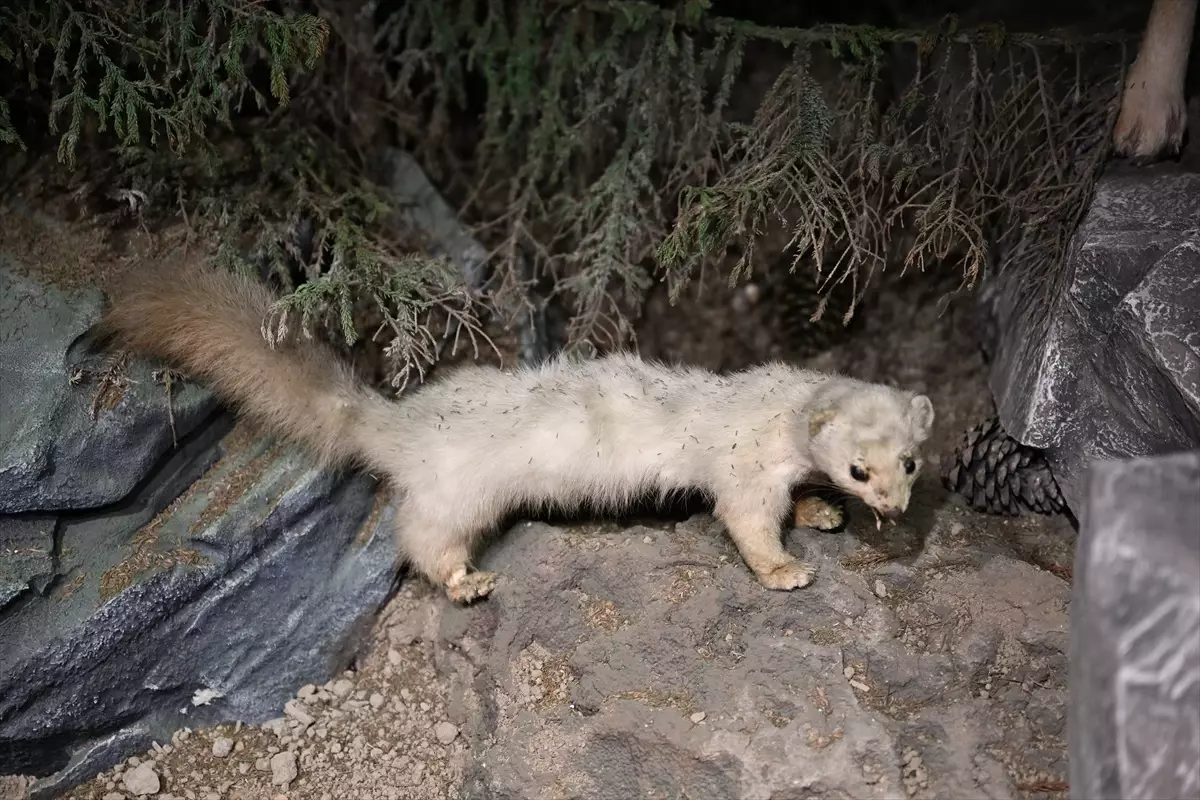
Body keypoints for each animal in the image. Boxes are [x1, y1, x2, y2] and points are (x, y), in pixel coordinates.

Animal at [96, 260, 936, 604]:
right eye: (860, 469)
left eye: (911, 464)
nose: (892, 509)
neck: (770, 399)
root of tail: (398, 419)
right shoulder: (742, 475)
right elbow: (749, 526)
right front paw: (788, 569)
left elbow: (793, 504)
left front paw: (819, 514)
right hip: (454, 496)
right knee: (420, 540)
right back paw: (466, 582)